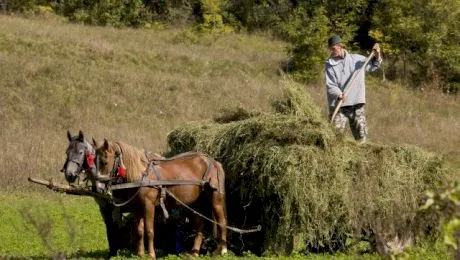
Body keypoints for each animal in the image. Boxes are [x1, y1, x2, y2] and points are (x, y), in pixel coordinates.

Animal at [94, 139, 228, 258]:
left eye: (105, 162)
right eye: (94, 161)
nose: (98, 188)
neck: (142, 175)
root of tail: (214, 162)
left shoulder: (149, 205)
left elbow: (149, 230)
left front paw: (151, 255)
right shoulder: (137, 208)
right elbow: (139, 230)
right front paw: (140, 254)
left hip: (216, 200)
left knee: (222, 222)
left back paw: (221, 250)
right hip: (196, 204)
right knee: (200, 226)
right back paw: (194, 253)